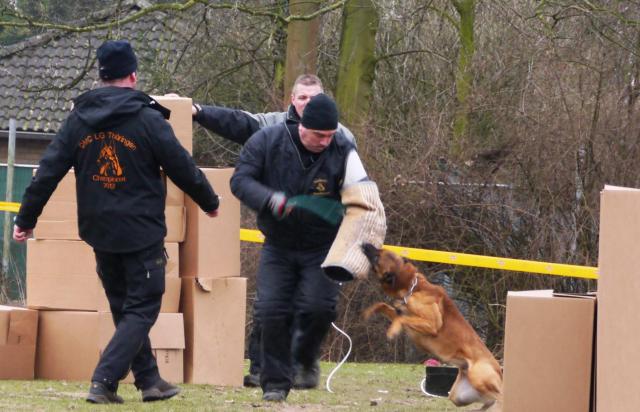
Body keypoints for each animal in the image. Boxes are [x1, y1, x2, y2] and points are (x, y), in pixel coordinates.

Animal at [361, 243, 503, 411]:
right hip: (459, 396)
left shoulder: (432, 324)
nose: (364, 244)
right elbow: (384, 306)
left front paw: (392, 331)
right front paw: (369, 312)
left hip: (478, 377)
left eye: (377, 256)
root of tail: (500, 371)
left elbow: (401, 319)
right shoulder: (402, 314)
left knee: (500, 397)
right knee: (488, 402)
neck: (412, 288)